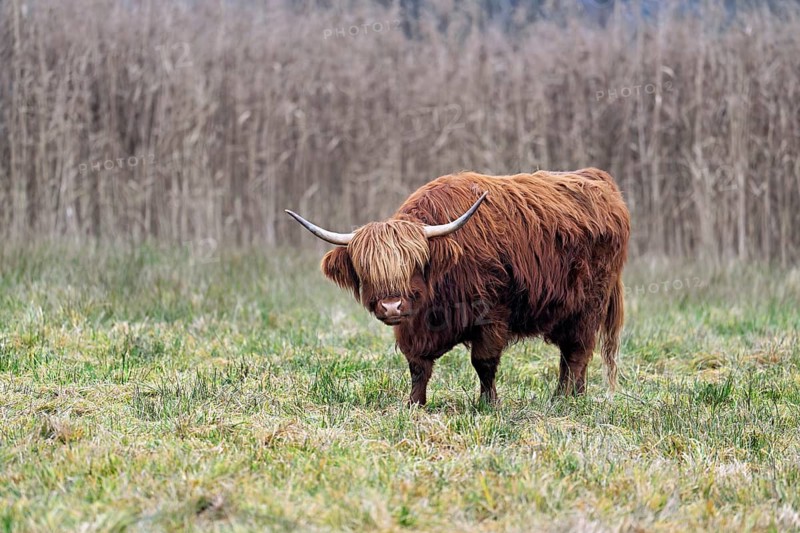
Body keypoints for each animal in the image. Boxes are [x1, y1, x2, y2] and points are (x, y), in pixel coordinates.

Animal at [286, 168, 630, 405]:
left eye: (415, 263)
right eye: (366, 269)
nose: (392, 306)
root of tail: (597, 179)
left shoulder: (491, 314)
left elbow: (484, 362)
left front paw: (488, 403)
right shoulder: (412, 327)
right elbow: (418, 367)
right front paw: (414, 404)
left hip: (588, 306)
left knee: (577, 353)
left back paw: (564, 399)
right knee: (571, 357)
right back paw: (572, 396)